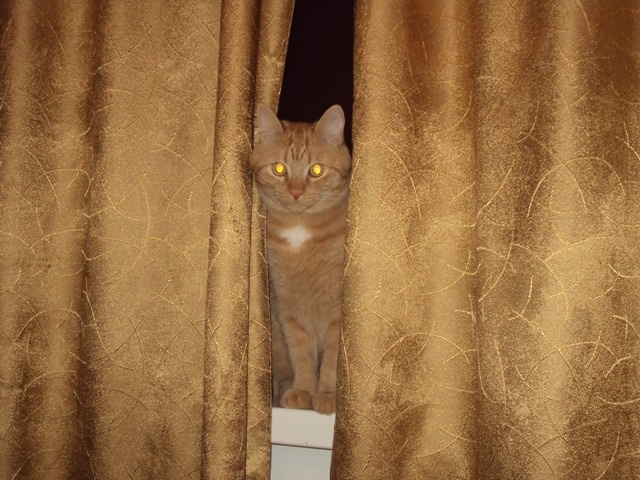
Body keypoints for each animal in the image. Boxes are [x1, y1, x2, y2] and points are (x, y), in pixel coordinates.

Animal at [250, 104, 351, 415]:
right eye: (279, 168)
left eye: (316, 170)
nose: (295, 192)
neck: (300, 230)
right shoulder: (289, 313)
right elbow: (302, 355)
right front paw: (304, 390)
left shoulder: (335, 315)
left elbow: (330, 361)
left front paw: (327, 394)